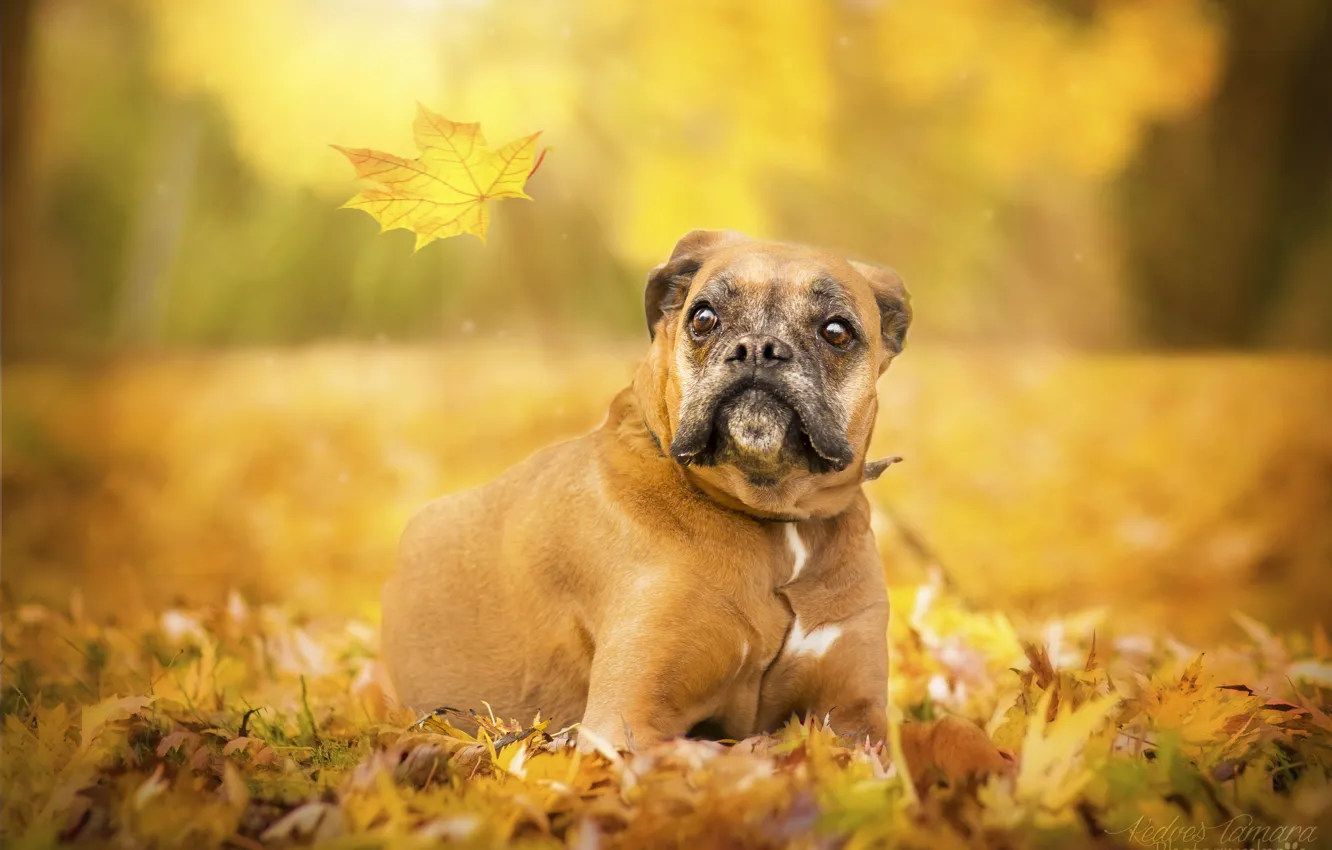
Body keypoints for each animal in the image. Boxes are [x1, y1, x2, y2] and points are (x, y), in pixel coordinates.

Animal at [386, 229, 1006, 783]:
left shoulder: (858, 713)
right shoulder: (628, 724)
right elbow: (741, 756)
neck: (772, 523)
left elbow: (949, 731)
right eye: (703, 317)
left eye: (837, 331)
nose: (759, 349)